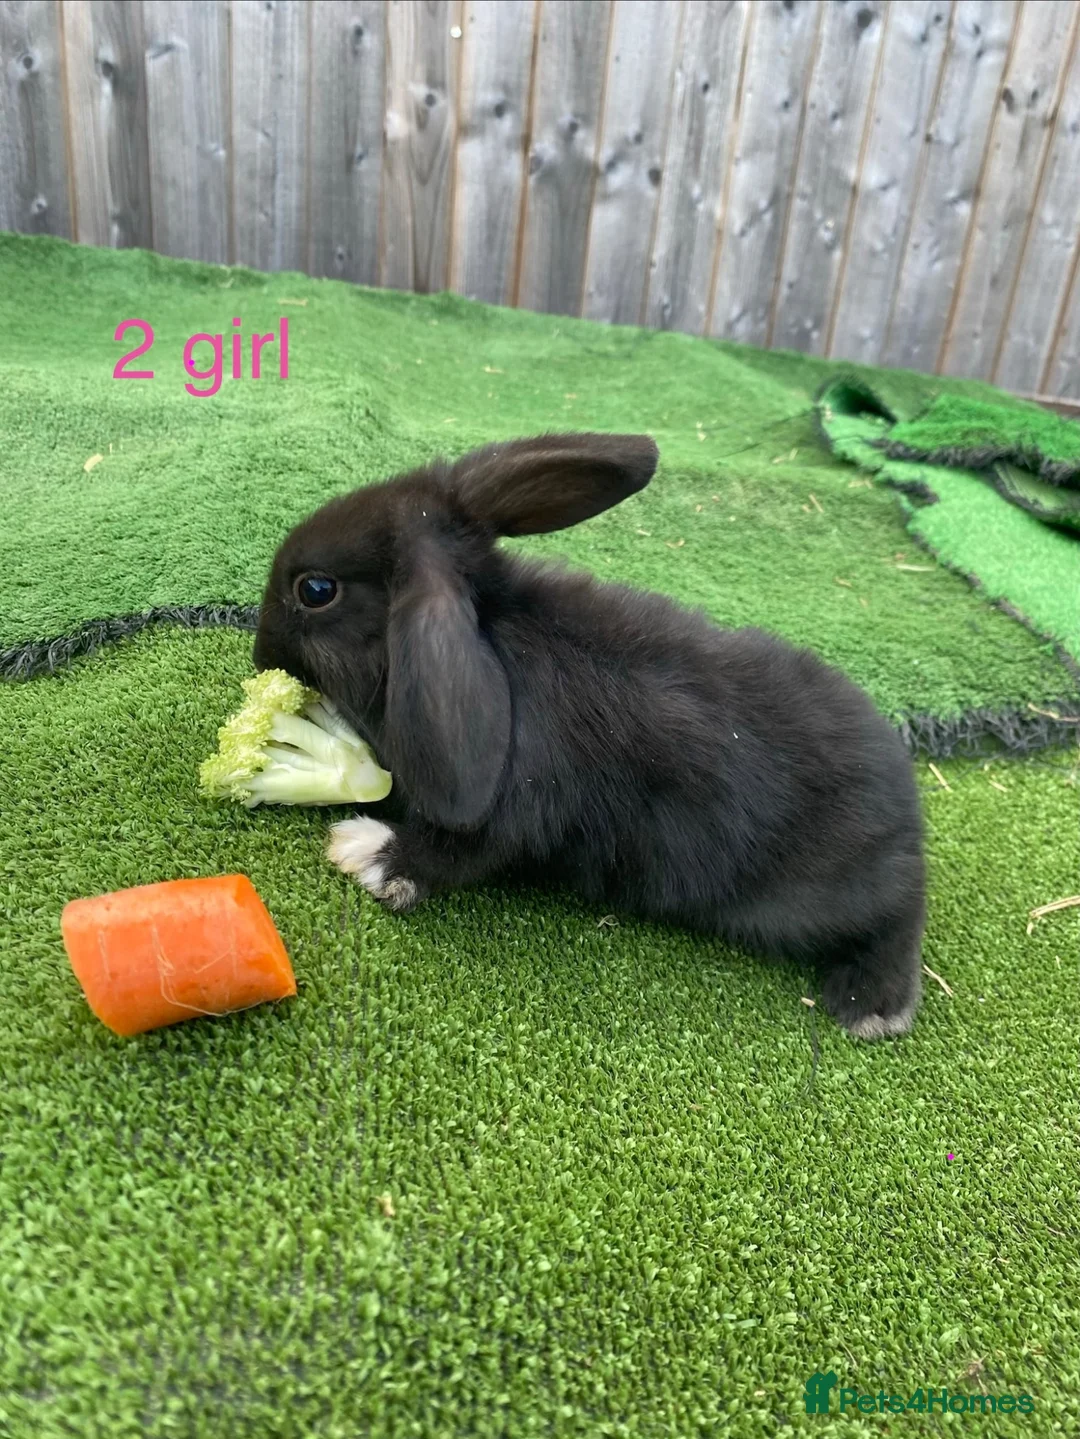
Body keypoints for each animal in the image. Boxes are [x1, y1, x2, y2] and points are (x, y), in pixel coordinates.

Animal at [254, 433, 926, 1040]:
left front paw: (361, 849)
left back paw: (872, 1006)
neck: (493, 640)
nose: (262, 657)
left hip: (822, 898)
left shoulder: (515, 813)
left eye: (316, 590)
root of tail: (908, 814)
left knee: (897, 920)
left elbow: (453, 853)